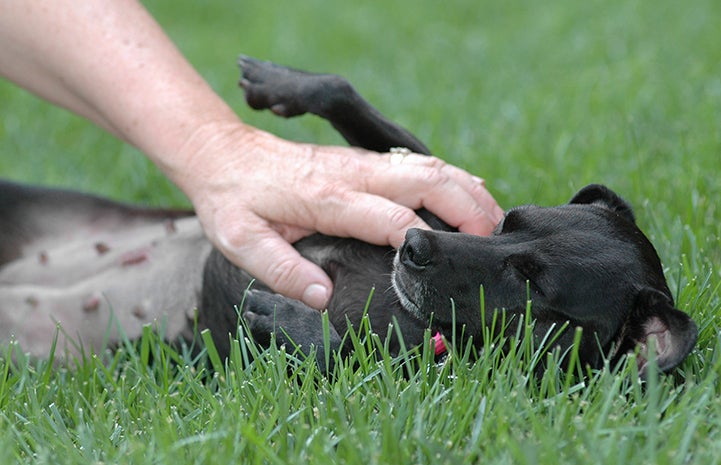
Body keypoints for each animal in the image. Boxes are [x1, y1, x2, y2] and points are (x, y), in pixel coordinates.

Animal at [0, 56, 696, 376]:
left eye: (531, 286)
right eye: (505, 223)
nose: (412, 244)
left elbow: (342, 357)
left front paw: (294, 321)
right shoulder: (417, 183)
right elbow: (364, 115)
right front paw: (281, 83)